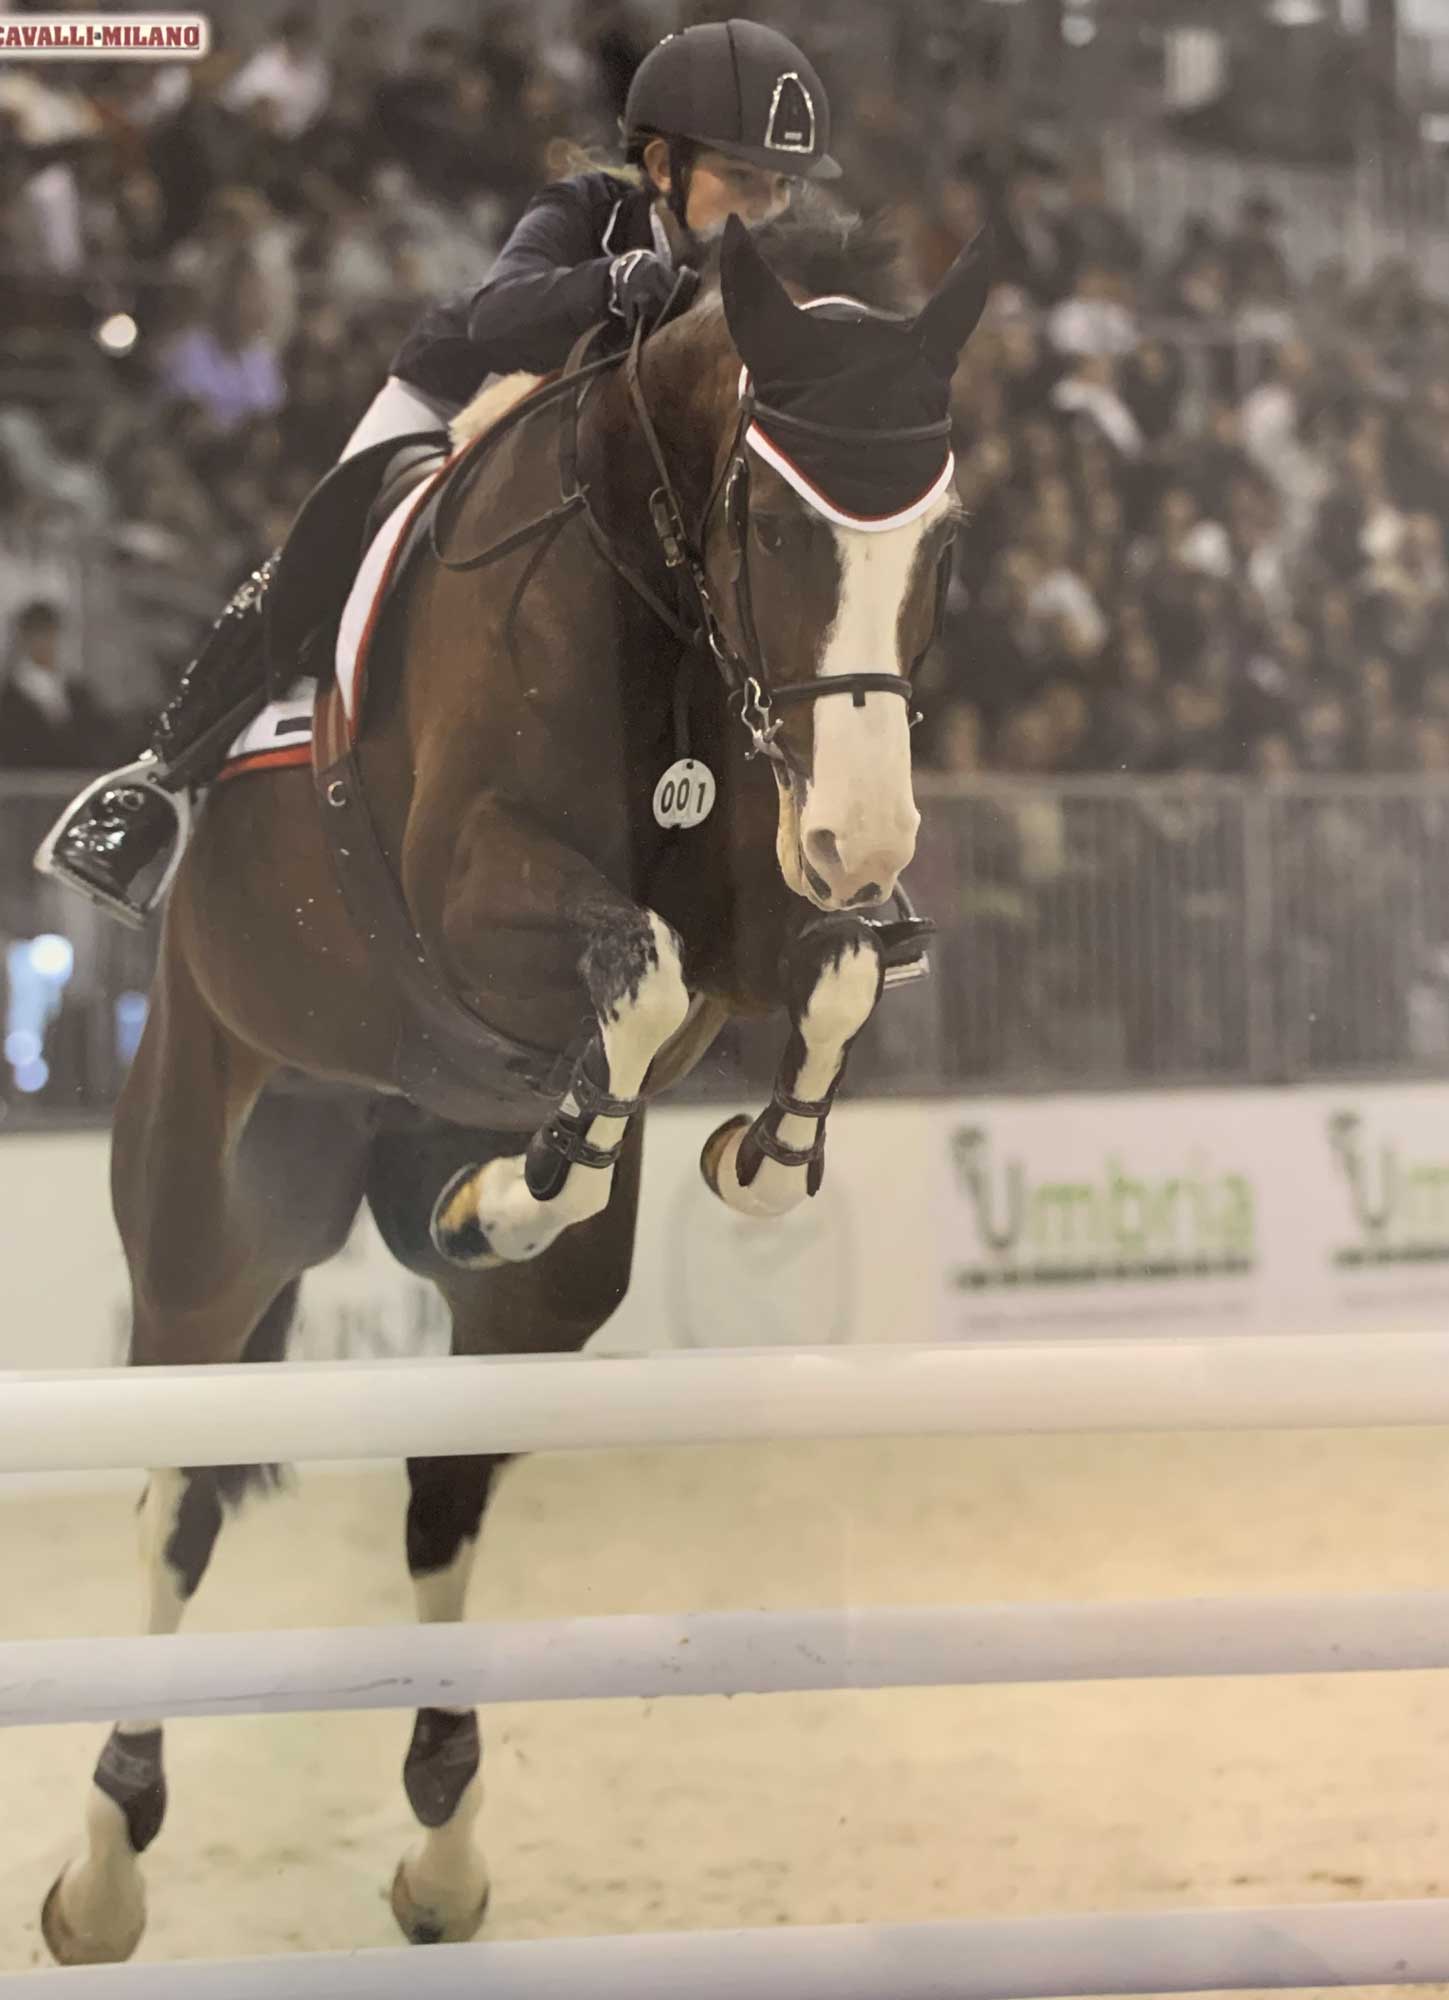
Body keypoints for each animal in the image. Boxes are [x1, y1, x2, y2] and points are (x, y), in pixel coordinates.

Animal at [39, 206, 990, 1963]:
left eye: (943, 541)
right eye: (773, 520)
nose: (865, 836)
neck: (658, 586)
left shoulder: (761, 912)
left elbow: (812, 971)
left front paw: (742, 1156)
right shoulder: (476, 890)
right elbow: (646, 963)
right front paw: (536, 1173)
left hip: (512, 1320)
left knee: (444, 1495)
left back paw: (443, 1848)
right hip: (213, 1201)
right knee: (181, 1494)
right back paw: (105, 1871)